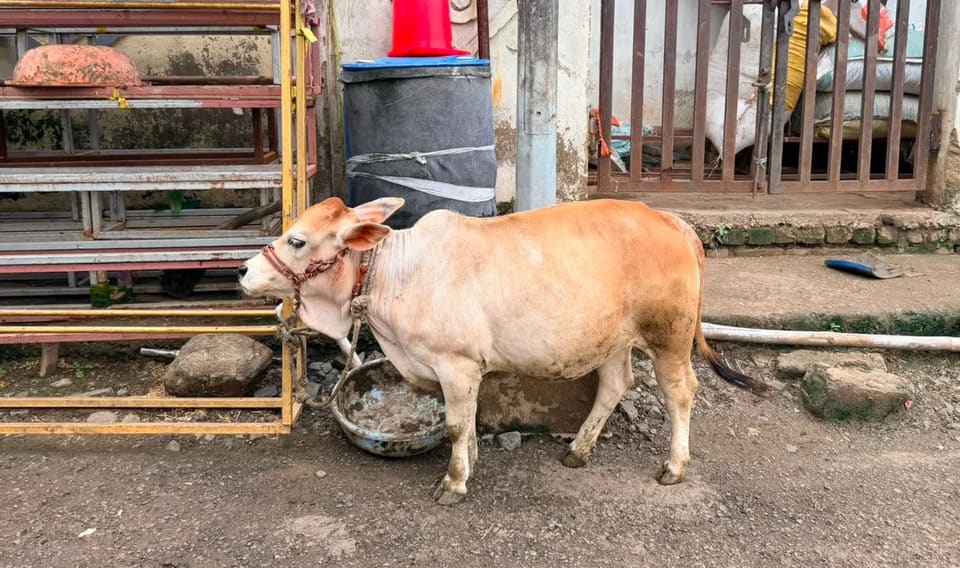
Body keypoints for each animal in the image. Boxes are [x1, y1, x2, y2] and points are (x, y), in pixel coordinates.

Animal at [238, 197, 766, 505]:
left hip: (668, 337)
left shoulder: (455, 366)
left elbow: (455, 425)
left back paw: (674, 466)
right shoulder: (462, 372)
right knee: (616, 384)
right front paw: (471, 458)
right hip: (613, 339)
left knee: (680, 393)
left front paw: (454, 481)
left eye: (297, 240)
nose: (243, 271)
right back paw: (578, 450)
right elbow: (468, 422)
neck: (394, 272)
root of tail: (673, 222)